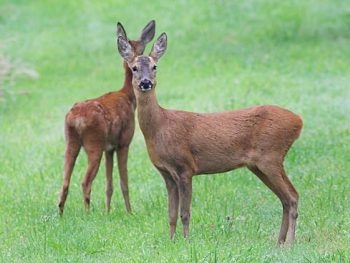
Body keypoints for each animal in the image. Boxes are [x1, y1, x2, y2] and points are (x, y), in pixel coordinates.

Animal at [58, 20, 156, 214]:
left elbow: (109, 184)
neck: (128, 96)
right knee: (85, 181)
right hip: (93, 143)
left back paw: (60, 214)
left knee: (65, 182)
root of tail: (75, 118)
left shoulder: (109, 148)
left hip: (71, 141)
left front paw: (108, 210)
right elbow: (124, 181)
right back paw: (87, 213)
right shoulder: (123, 142)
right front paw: (129, 211)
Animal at [117, 32, 304, 245]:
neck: (160, 127)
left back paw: (289, 243)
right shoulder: (166, 173)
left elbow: (185, 213)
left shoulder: (185, 167)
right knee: (285, 199)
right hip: (259, 165)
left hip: (271, 156)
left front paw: (186, 241)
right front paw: (171, 241)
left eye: (155, 66)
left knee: (292, 196)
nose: (146, 82)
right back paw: (279, 242)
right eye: (134, 68)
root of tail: (298, 121)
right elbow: (171, 214)